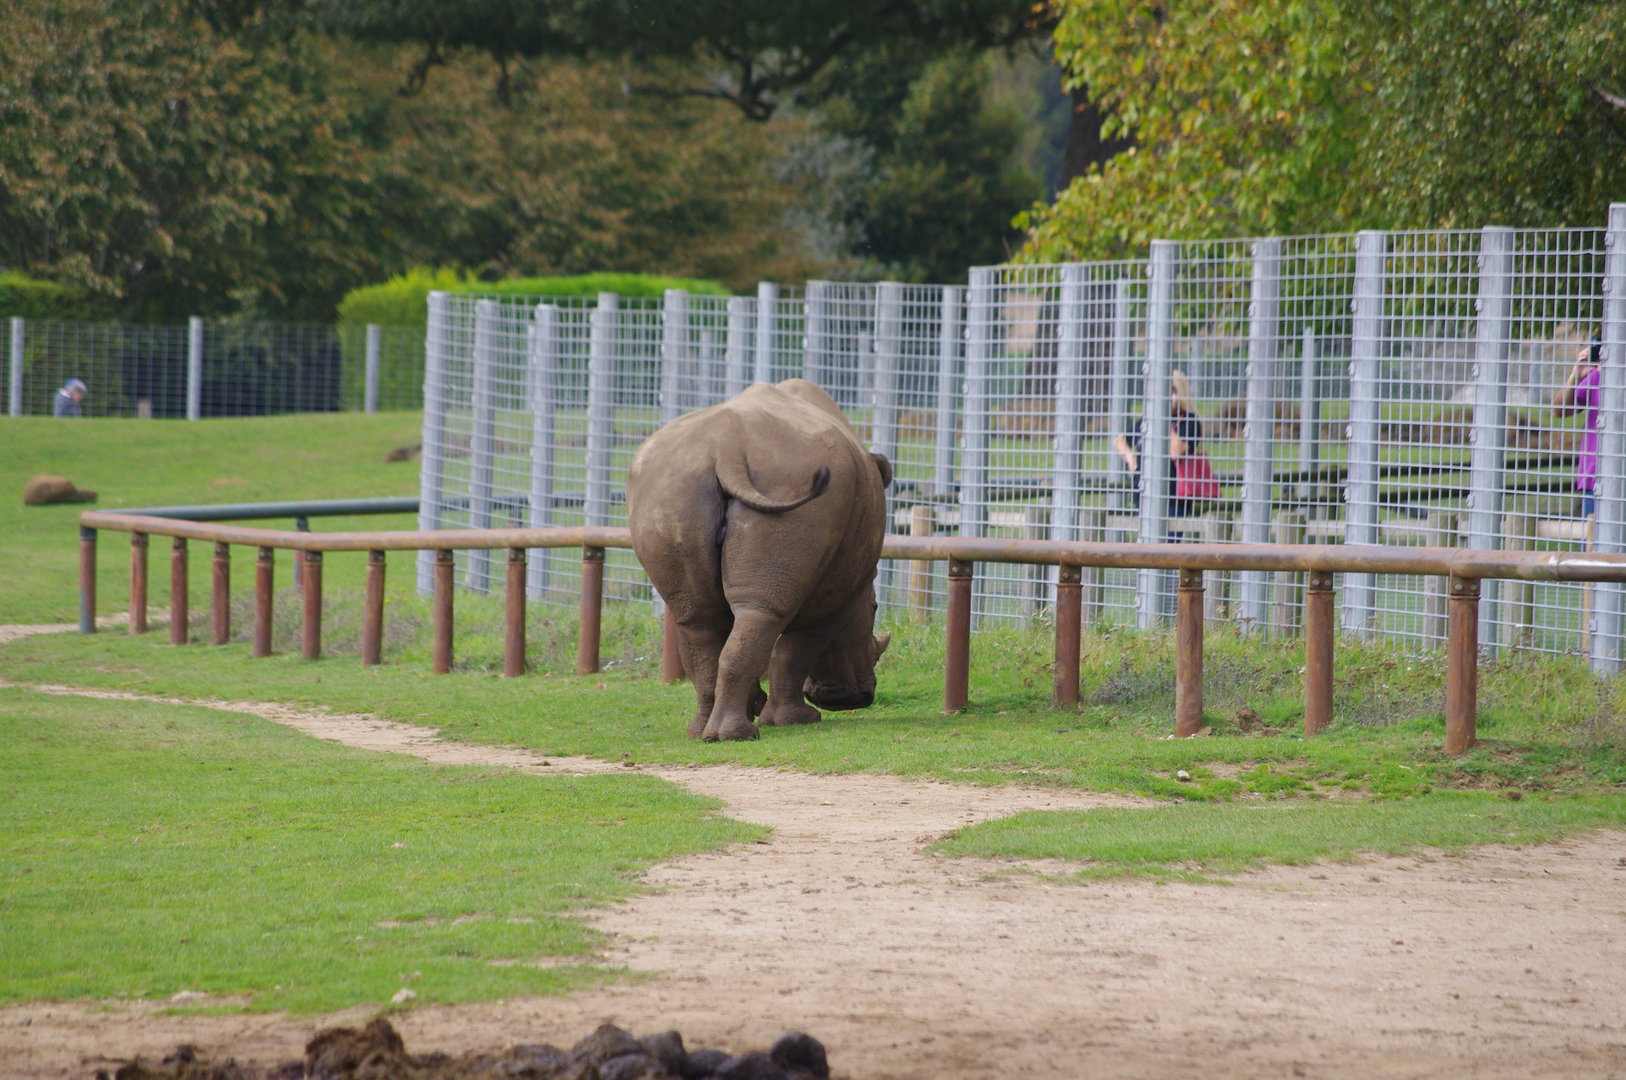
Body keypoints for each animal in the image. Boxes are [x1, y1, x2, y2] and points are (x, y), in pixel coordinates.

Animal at [627, 378, 892, 741]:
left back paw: (702, 733)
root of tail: (727, 450)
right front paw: (793, 720)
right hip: (789, 480)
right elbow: (796, 650)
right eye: (875, 609)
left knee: (697, 618)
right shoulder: (841, 589)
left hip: (670, 489)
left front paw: (757, 706)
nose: (852, 699)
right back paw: (738, 735)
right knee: (762, 616)